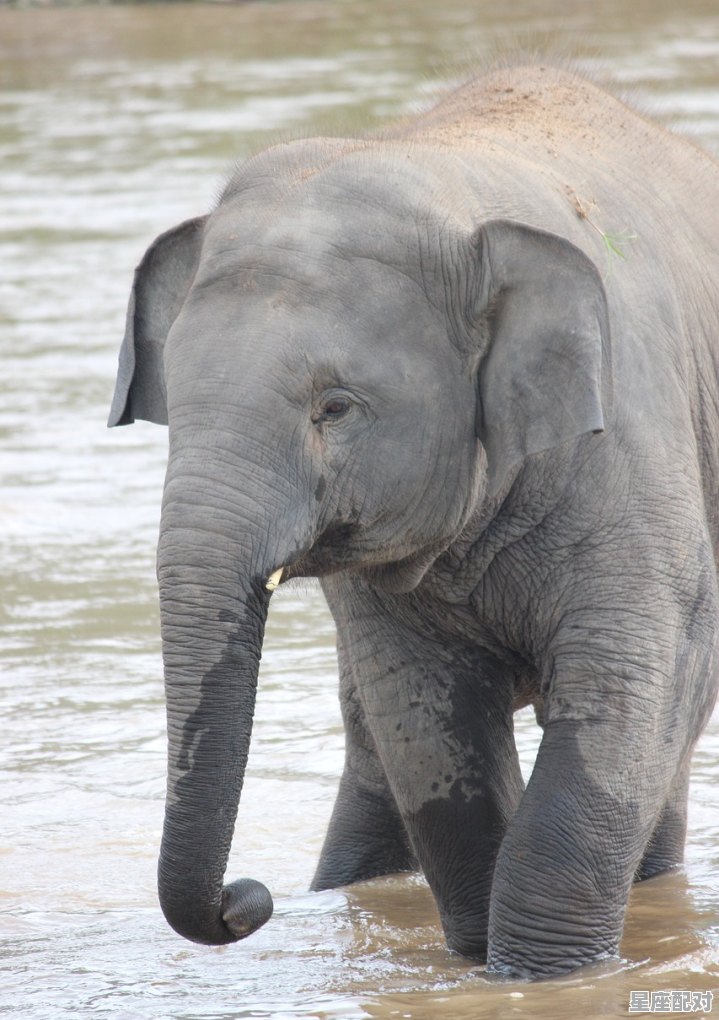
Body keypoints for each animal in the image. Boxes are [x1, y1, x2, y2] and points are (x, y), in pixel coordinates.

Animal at [108, 63, 717, 979]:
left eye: (334, 407)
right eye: (172, 407)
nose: (245, 901)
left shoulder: (634, 448)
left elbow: (620, 689)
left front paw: (537, 979)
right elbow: (424, 722)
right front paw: (478, 963)